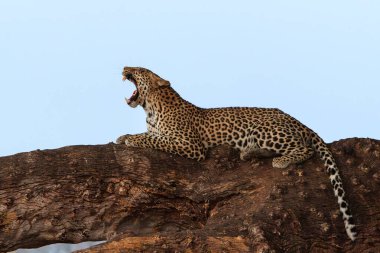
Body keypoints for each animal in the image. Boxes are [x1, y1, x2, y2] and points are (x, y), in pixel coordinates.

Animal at [115, 66, 356, 240]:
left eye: (140, 69)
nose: (125, 67)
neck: (150, 109)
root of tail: (297, 121)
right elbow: (151, 135)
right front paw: (123, 136)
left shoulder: (190, 144)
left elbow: (154, 139)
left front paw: (130, 139)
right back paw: (249, 153)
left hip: (264, 130)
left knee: (305, 148)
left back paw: (279, 160)